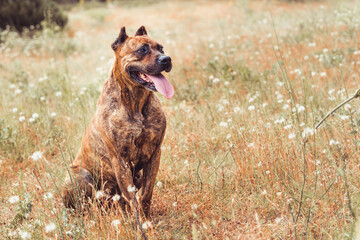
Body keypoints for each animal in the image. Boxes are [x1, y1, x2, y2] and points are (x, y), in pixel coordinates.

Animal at [61, 26, 174, 218]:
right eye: (142, 50)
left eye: (161, 48)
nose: (166, 59)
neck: (136, 103)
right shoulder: (120, 160)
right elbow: (132, 198)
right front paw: (138, 222)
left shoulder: (154, 154)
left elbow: (146, 193)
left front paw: (146, 218)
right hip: (80, 175)